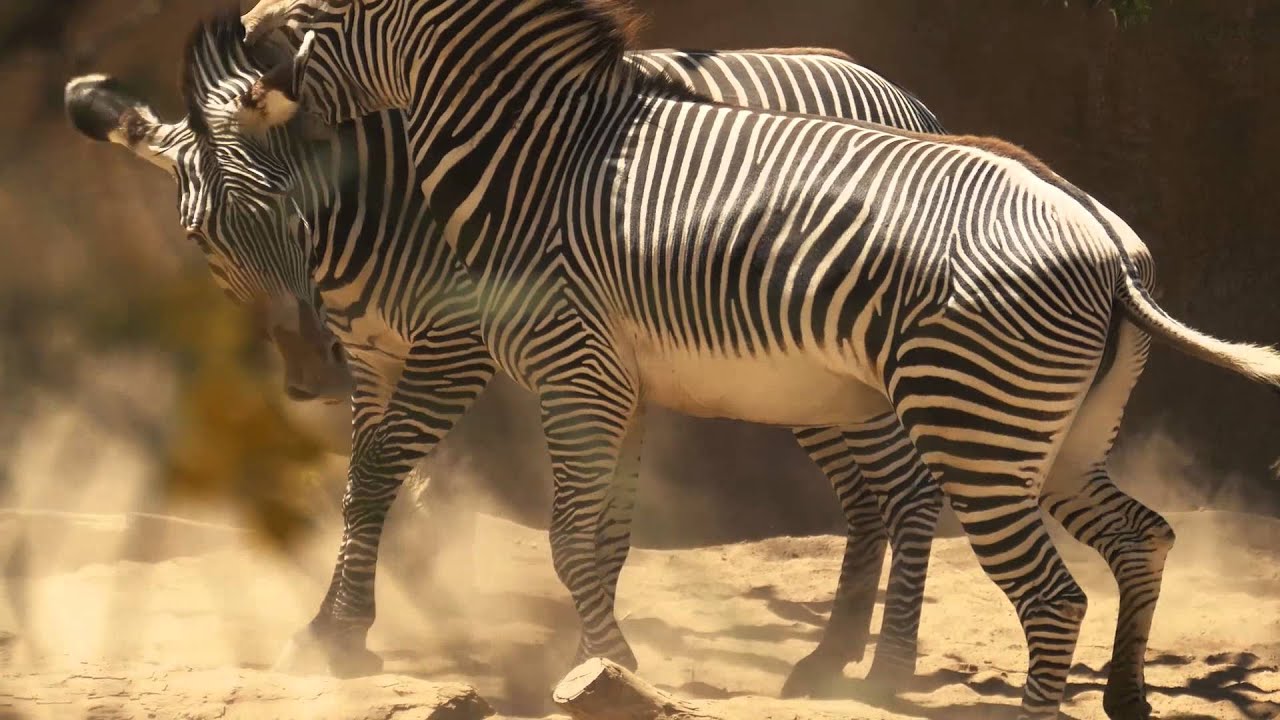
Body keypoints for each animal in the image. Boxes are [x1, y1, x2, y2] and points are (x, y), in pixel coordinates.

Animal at [64, 17, 948, 694]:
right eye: (198, 240)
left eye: (292, 209)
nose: (311, 376)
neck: (371, 207)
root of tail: (903, 95)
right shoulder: (373, 357)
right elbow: (357, 489)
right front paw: (333, 626)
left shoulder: (456, 348)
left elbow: (379, 478)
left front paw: (340, 634)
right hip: (802, 378)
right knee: (865, 497)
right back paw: (832, 655)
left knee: (905, 490)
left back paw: (874, 668)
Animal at [229, 0, 1280, 716]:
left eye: (322, 13)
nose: (245, 32)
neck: (525, 159)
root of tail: (1108, 243)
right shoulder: (618, 383)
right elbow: (600, 539)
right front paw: (611, 666)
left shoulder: (568, 366)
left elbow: (565, 539)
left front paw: (605, 665)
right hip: (1052, 437)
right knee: (1143, 537)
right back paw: (1127, 699)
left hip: (973, 426)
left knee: (1051, 595)